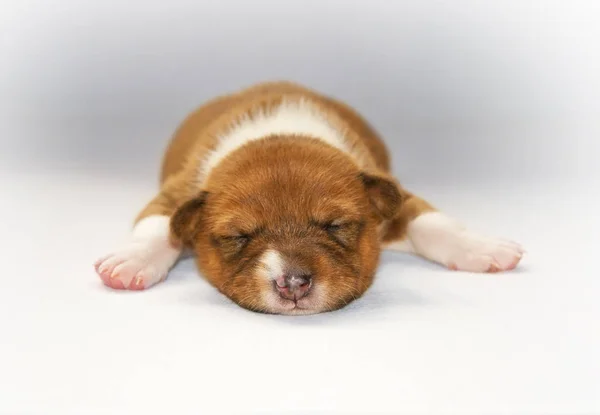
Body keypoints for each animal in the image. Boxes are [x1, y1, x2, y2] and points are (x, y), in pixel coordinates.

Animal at [94, 81, 524, 316]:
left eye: (335, 226)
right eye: (239, 237)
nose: (294, 284)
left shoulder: (395, 195)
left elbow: (432, 222)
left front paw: (480, 247)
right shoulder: (178, 191)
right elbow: (158, 228)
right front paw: (130, 261)